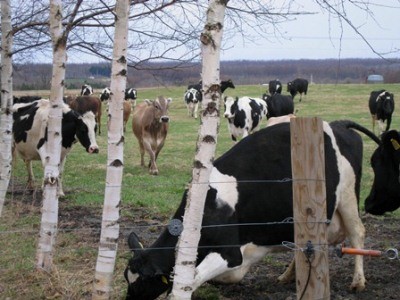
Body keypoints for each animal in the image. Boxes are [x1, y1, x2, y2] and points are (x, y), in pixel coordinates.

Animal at [125, 119, 382, 298]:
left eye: (141, 283)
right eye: (128, 279)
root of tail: (339, 124)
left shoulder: (229, 253)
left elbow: (195, 278)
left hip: (347, 196)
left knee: (357, 232)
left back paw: (358, 281)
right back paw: (287, 276)